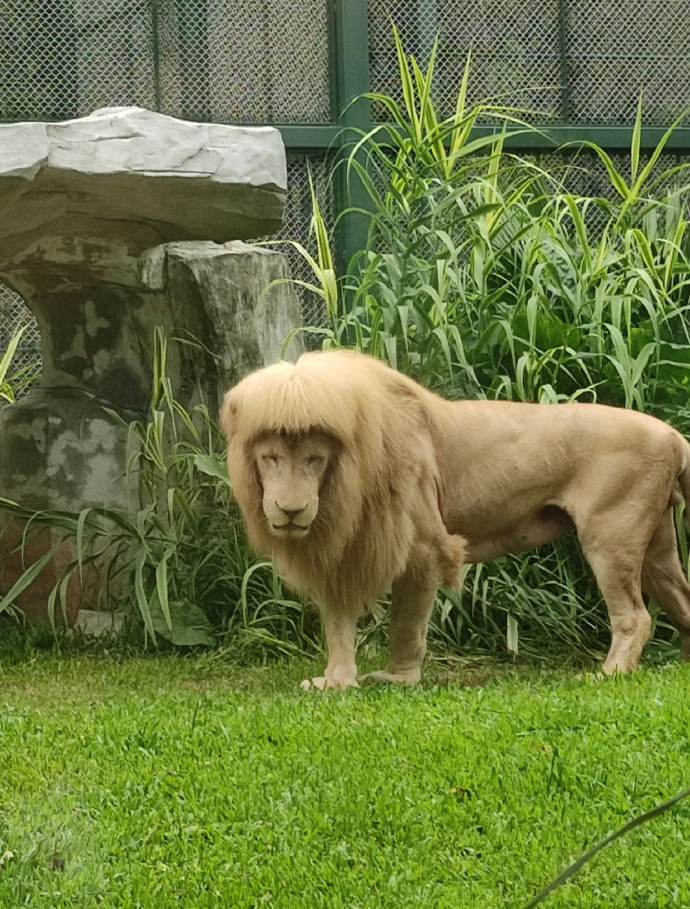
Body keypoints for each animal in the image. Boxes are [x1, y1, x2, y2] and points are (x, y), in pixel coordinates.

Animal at [220, 348, 688, 688]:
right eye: (271, 458)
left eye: (315, 460)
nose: (291, 510)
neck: (342, 485)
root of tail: (673, 435)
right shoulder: (341, 553)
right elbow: (338, 627)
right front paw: (335, 682)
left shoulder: (424, 548)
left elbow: (406, 624)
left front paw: (397, 679)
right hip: (657, 548)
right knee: (682, 600)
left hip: (610, 536)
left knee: (635, 616)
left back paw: (609, 674)